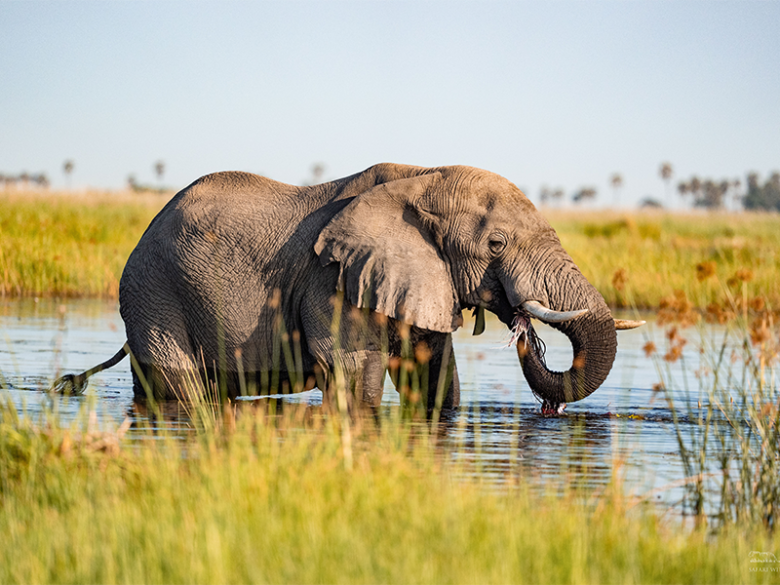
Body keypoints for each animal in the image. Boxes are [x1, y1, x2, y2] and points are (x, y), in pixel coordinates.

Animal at [53, 163, 643, 413]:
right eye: (496, 244)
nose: (523, 332)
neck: (422, 175)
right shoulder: (333, 279)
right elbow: (355, 378)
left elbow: (433, 380)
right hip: (153, 295)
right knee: (181, 389)